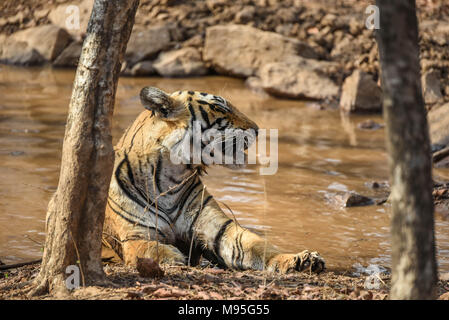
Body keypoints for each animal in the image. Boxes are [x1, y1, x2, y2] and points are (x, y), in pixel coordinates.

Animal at [103, 86, 324, 274]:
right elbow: (150, 248)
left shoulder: (221, 229)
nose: (257, 129)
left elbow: (259, 245)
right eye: (219, 108)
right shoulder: (134, 236)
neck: (170, 178)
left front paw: (301, 259)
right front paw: (173, 258)